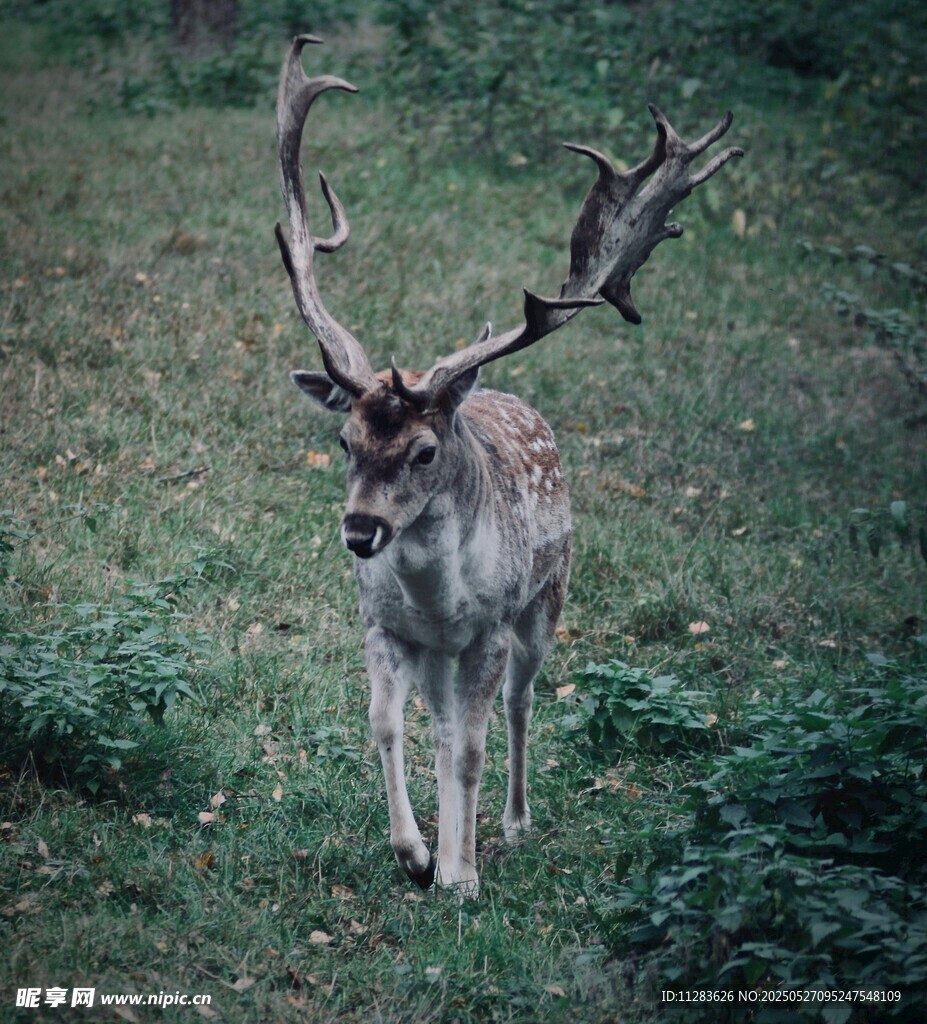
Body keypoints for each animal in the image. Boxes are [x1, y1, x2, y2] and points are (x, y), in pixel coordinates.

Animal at [275, 35, 742, 896]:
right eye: (346, 440)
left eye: (424, 450)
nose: (359, 533)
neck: (435, 601)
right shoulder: (383, 625)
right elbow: (387, 726)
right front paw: (415, 852)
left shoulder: (488, 629)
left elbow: (472, 746)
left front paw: (460, 873)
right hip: (448, 651)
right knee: (439, 722)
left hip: (546, 603)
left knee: (520, 705)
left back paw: (516, 823)